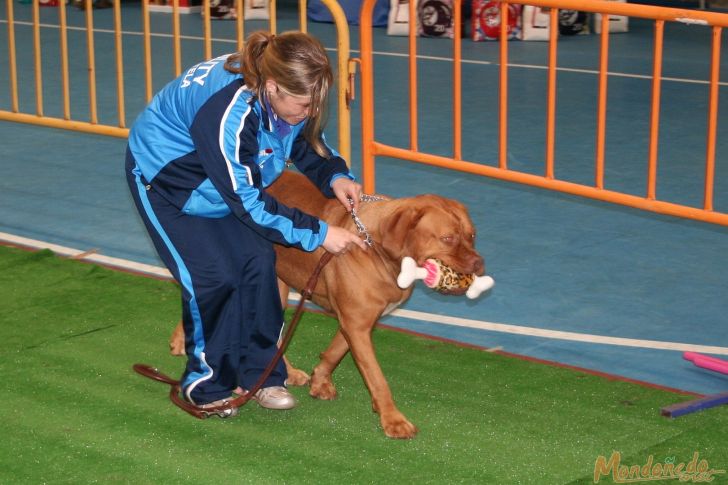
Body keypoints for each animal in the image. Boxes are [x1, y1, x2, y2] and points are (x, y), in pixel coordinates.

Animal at [172, 171, 484, 438]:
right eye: (447, 238)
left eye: (471, 235)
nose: (479, 263)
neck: (375, 246)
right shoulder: (357, 323)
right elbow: (378, 378)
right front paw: (393, 420)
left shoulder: (359, 320)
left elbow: (335, 351)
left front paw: (321, 381)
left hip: (278, 282)